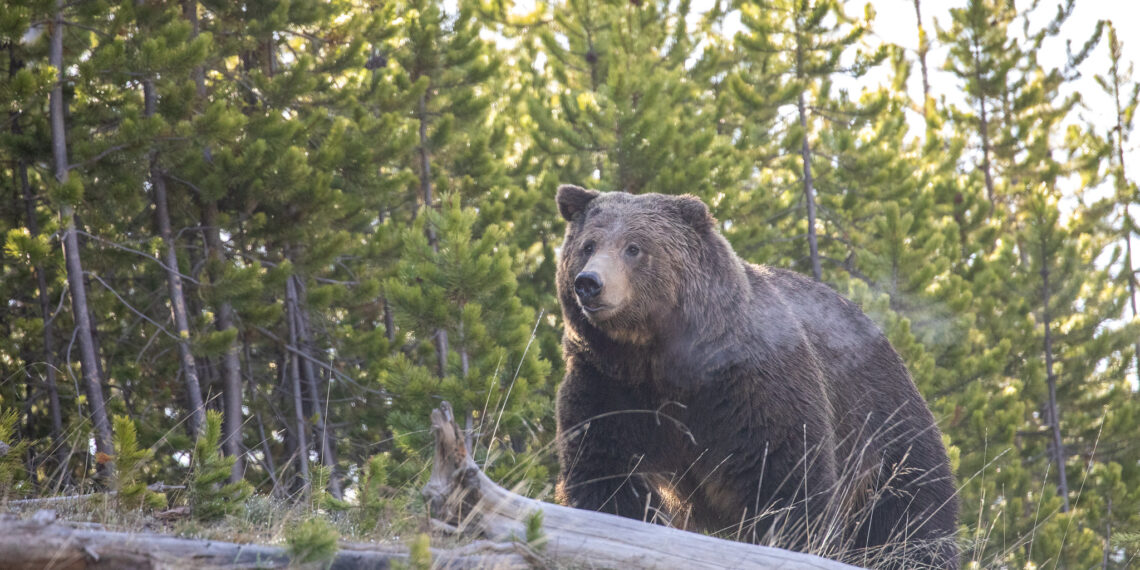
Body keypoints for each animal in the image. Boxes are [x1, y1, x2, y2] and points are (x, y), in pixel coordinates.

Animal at [553, 185, 959, 568]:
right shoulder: (609, 385)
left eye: (634, 247)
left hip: (884, 422)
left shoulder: (749, 386)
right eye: (588, 245)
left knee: (912, 514)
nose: (589, 283)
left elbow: (784, 479)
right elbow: (607, 472)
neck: (657, 358)